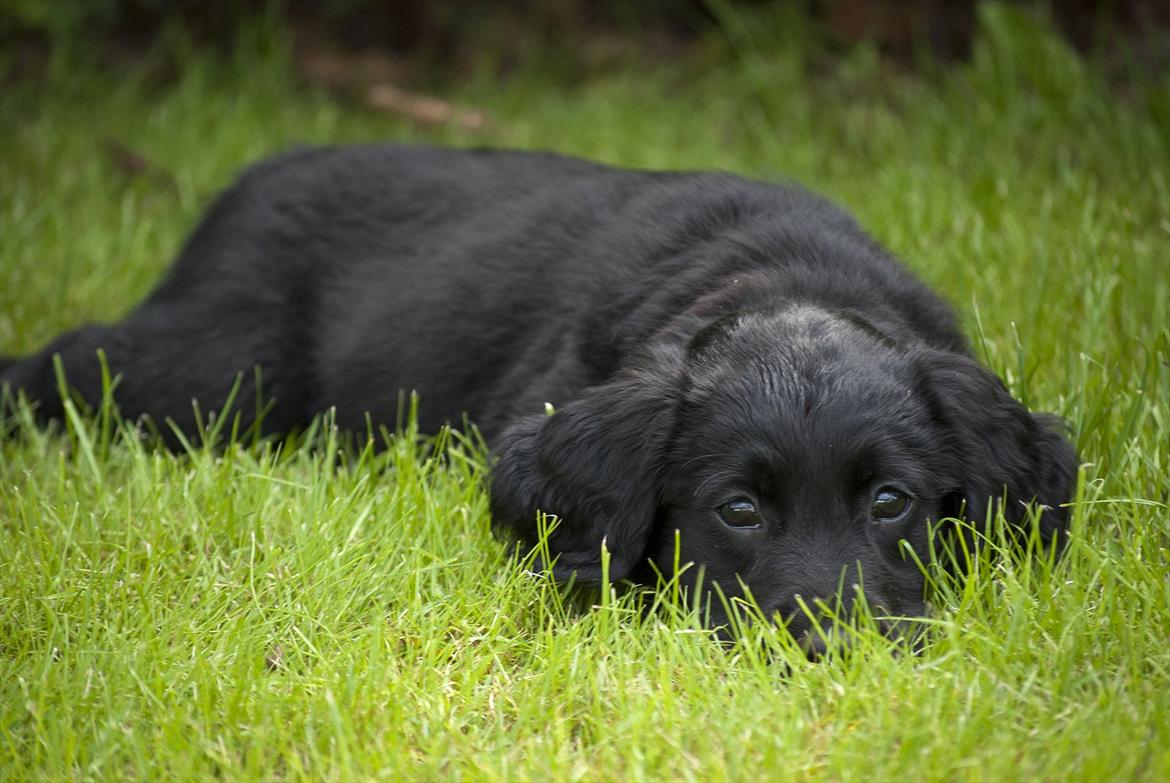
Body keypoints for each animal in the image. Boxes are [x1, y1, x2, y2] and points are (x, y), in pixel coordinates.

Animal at [2, 143, 1076, 646]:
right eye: (738, 510)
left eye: (892, 502)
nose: (831, 649)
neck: (775, 276)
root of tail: (248, 182)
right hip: (213, 372)